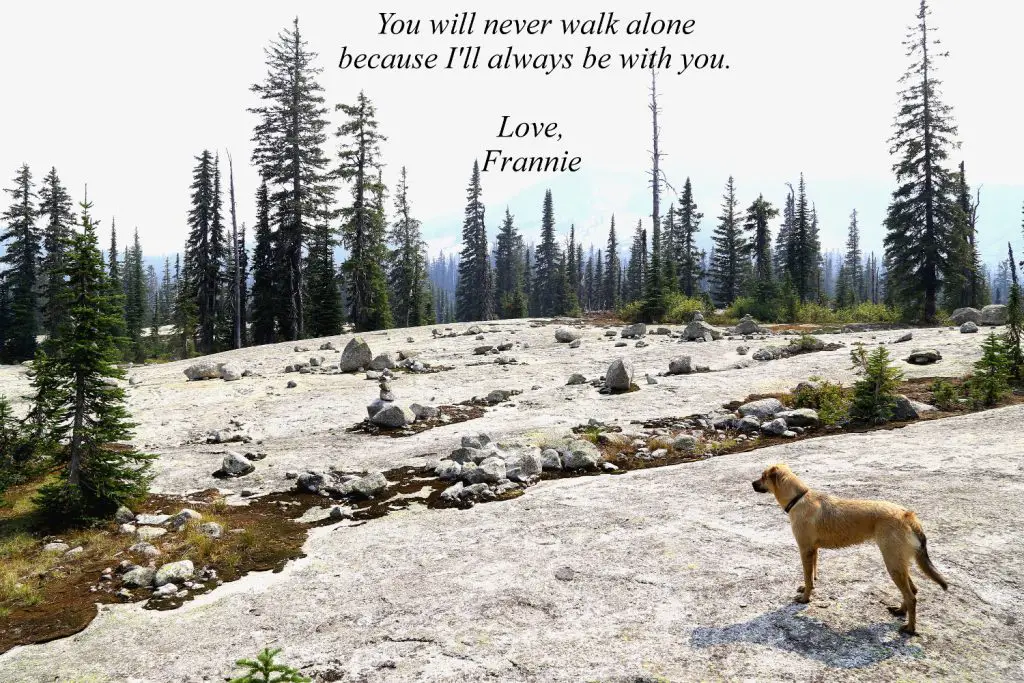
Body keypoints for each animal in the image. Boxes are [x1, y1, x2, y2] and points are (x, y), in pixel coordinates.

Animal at [749, 462, 946, 634]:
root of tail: (908, 516)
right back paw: (900, 611)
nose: (751, 483)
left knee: (911, 596)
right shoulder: (813, 550)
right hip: (899, 562)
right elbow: (812, 574)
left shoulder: (805, 549)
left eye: (763, 476)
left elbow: (807, 576)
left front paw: (805, 598)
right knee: (912, 591)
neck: (798, 499)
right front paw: (808, 588)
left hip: (892, 563)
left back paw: (910, 629)